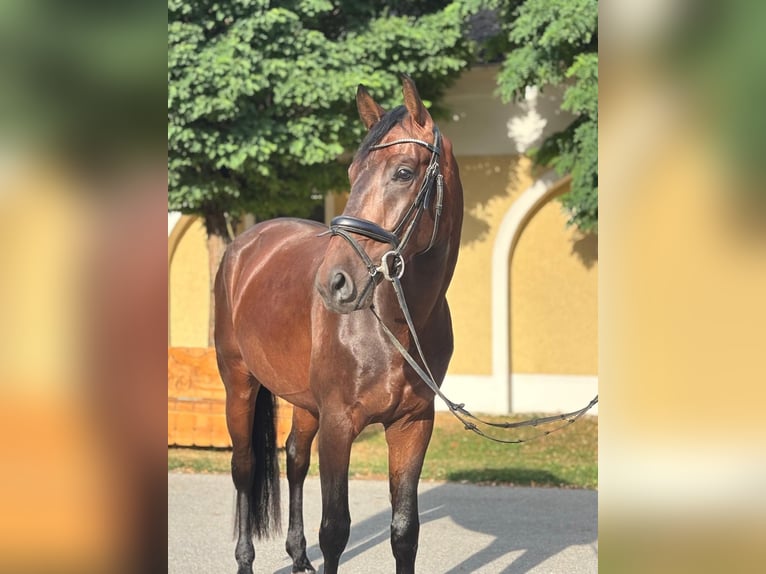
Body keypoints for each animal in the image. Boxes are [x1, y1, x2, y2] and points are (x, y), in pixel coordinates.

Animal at [214, 75, 463, 574]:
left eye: (403, 172)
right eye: (351, 174)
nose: (334, 282)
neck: (393, 326)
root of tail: (242, 246)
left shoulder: (413, 424)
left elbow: (404, 532)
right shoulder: (338, 423)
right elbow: (335, 530)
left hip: (304, 401)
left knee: (293, 458)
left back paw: (297, 556)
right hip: (239, 383)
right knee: (245, 467)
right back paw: (246, 559)